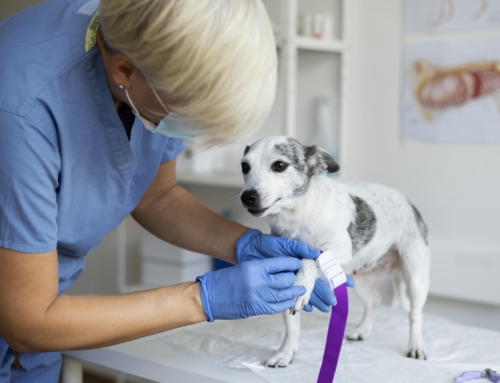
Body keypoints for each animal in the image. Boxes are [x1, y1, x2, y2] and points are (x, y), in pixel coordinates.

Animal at [238, 136, 430, 368]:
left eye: (280, 165)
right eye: (244, 166)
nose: (247, 197)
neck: (298, 216)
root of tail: (409, 204)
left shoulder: (339, 248)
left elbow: (309, 257)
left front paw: (304, 283)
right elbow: (291, 324)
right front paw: (285, 353)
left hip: (416, 277)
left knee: (415, 315)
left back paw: (416, 345)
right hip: (361, 281)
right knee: (374, 300)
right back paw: (363, 330)